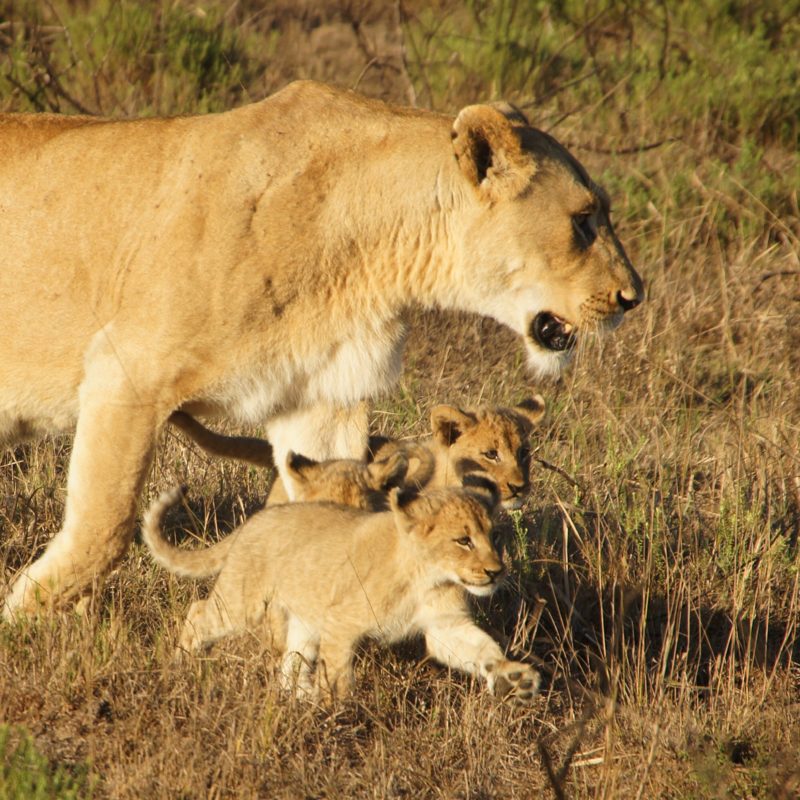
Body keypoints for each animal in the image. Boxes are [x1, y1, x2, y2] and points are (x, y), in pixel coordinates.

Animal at [0, 81, 640, 616]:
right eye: (584, 221)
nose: (634, 296)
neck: (373, 252)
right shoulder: (125, 371)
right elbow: (103, 528)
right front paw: (22, 622)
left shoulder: (320, 400)